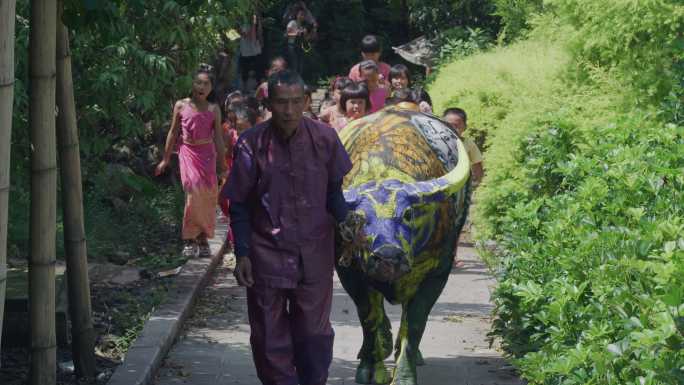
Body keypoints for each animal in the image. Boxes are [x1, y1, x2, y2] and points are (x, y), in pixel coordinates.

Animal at [336, 103, 470, 384]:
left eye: (408, 214)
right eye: (357, 219)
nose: (388, 257)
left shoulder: (438, 272)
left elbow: (416, 323)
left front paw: (404, 374)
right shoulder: (348, 272)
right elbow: (369, 317)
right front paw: (371, 369)